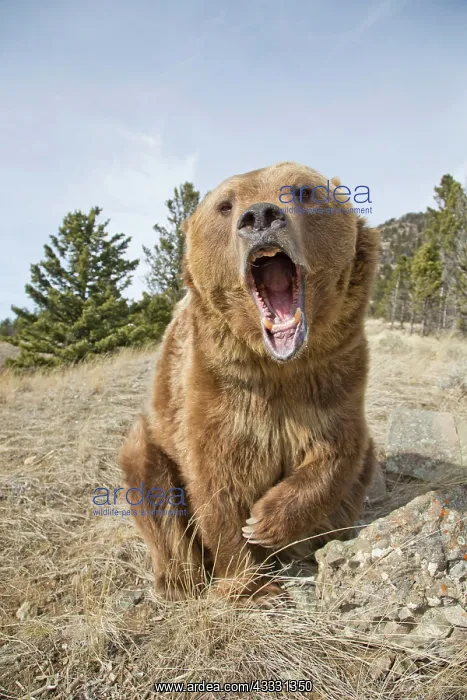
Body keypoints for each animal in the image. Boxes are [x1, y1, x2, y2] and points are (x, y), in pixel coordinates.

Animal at [120, 161, 380, 606]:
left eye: (304, 191)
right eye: (225, 205)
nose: (260, 216)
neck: (278, 365)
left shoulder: (335, 375)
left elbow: (340, 449)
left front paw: (264, 521)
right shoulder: (219, 388)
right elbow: (216, 481)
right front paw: (251, 585)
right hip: (153, 439)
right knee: (150, 482)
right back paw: (178, 579)